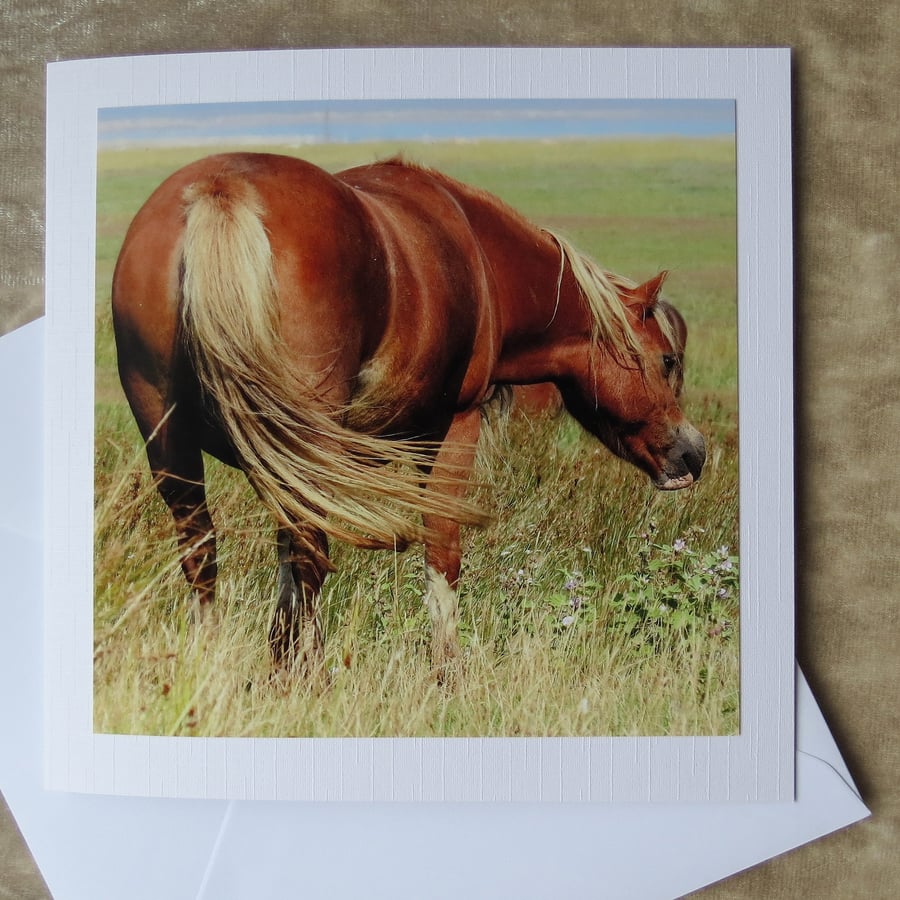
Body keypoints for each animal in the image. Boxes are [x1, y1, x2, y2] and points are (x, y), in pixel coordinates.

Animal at [111, 151, 706, 675]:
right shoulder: (451, 431)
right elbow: (443, 553)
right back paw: (308, 677)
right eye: (667, 359)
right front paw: (447, 671)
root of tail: (223, 189)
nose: (692, 454)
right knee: (307, 554)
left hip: (172, 445)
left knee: (206, 554)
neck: (480, 256)